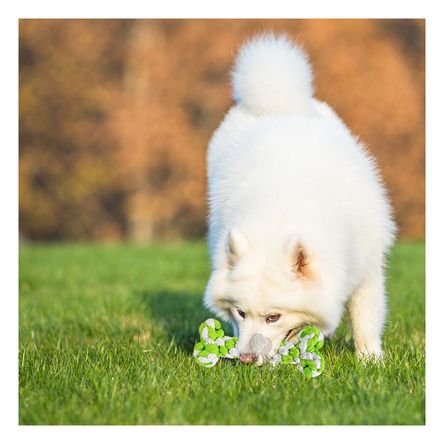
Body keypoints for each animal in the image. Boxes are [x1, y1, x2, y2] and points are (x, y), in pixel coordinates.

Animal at [205, 33, 396, 364]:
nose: (246, 359)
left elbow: (365, 320)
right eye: (241, 313)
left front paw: (370, 360)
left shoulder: (367, 269)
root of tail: (280, 105)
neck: (278, 215)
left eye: (273, 317)